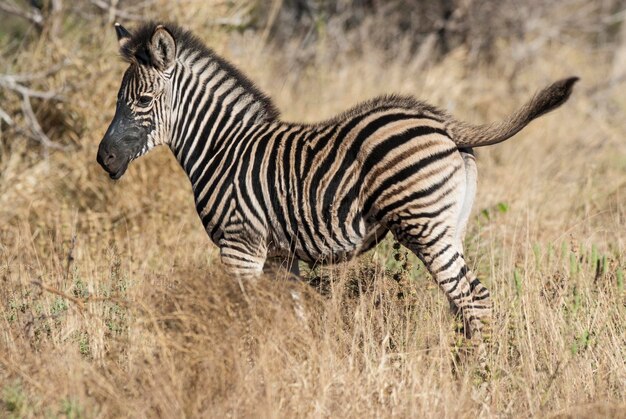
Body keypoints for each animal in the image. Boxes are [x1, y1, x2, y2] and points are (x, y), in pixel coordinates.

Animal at [95, 22, 576, 342]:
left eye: (142, 100)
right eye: (117, 100)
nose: (105, 159)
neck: (222, 147)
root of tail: (442, 121)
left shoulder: (239, 245)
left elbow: (242, 316)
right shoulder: (279, 255)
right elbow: (291, 317)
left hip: (424, 227)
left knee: (475, 299)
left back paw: (479, 377)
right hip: (451, 225)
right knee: (464, 303)